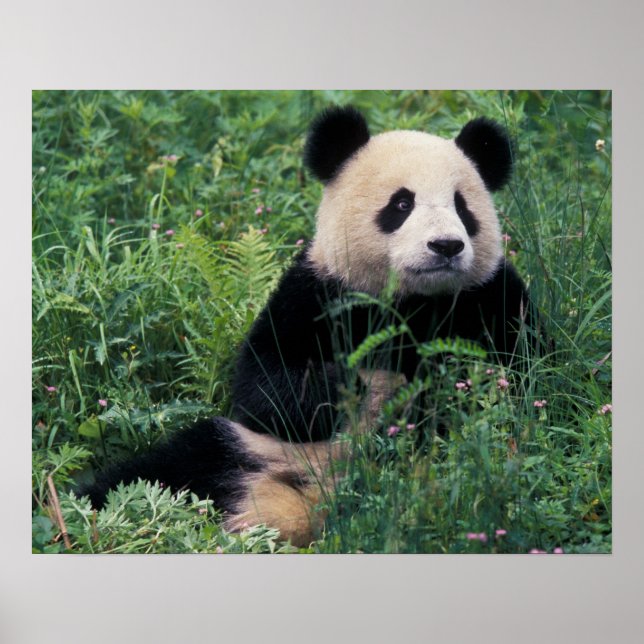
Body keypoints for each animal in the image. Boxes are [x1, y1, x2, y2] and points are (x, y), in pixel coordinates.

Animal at [82, 106, 537, 547]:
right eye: (401, 204)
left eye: (462, 207)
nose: (446, 246)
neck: (412, 301)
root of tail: (299, 505)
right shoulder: (314, 293)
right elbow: (263, 387)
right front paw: (345, 384)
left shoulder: (491, 298)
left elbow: (528, 379)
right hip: (246, 448)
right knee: (155, 473)